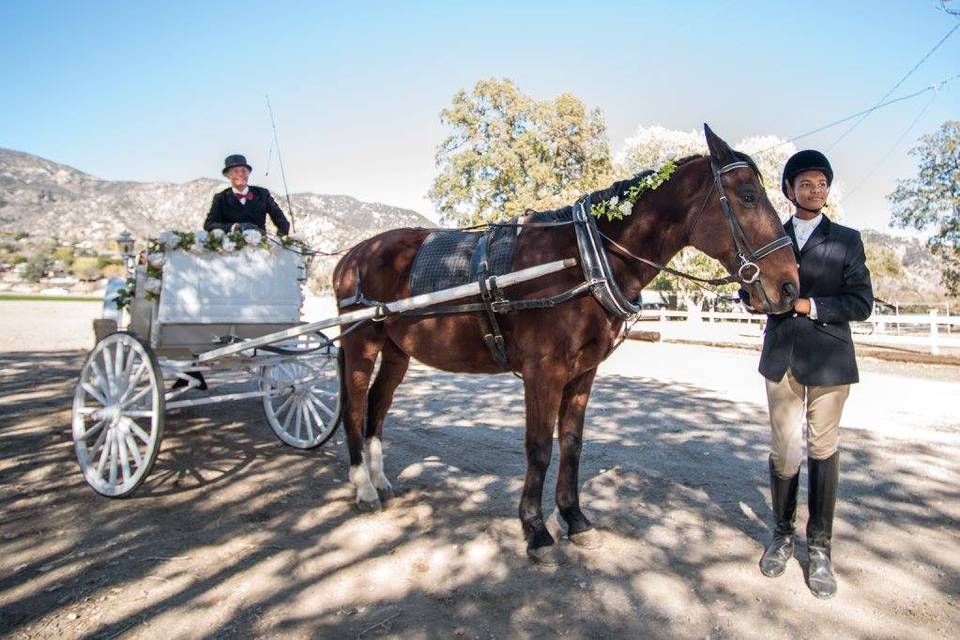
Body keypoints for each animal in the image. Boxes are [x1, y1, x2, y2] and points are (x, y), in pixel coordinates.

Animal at [334, 125, 800, 560]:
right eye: (747, 196)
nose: (790, 286)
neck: (584, 259)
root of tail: (353, 255)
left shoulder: (582, 372)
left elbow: (572, 444)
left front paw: (574, 517)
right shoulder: (544, 372)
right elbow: (539, 448)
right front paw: (535, 527)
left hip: (396, 351)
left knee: (378, 406)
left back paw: (380, 479)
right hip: (361, 346)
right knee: (356, 408)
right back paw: (363, 487)